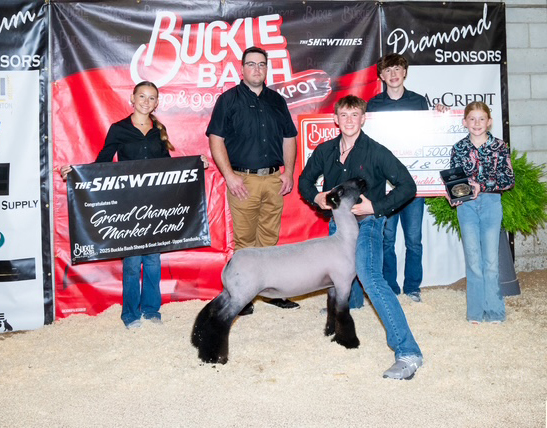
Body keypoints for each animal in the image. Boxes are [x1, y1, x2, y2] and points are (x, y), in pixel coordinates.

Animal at [191, 178, 367, 364]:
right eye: (341, 190)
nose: (361, 180)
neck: (344, 240)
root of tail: (231, 261)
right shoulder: (343, 283)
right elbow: (343, 314)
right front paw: (349, 342)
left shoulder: (333, 286)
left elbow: (332, 309)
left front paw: (330, 332)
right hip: (241, 295)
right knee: (221, 320)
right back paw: (214, 357)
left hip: (230, 292)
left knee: (210, 310)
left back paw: (197, 342)